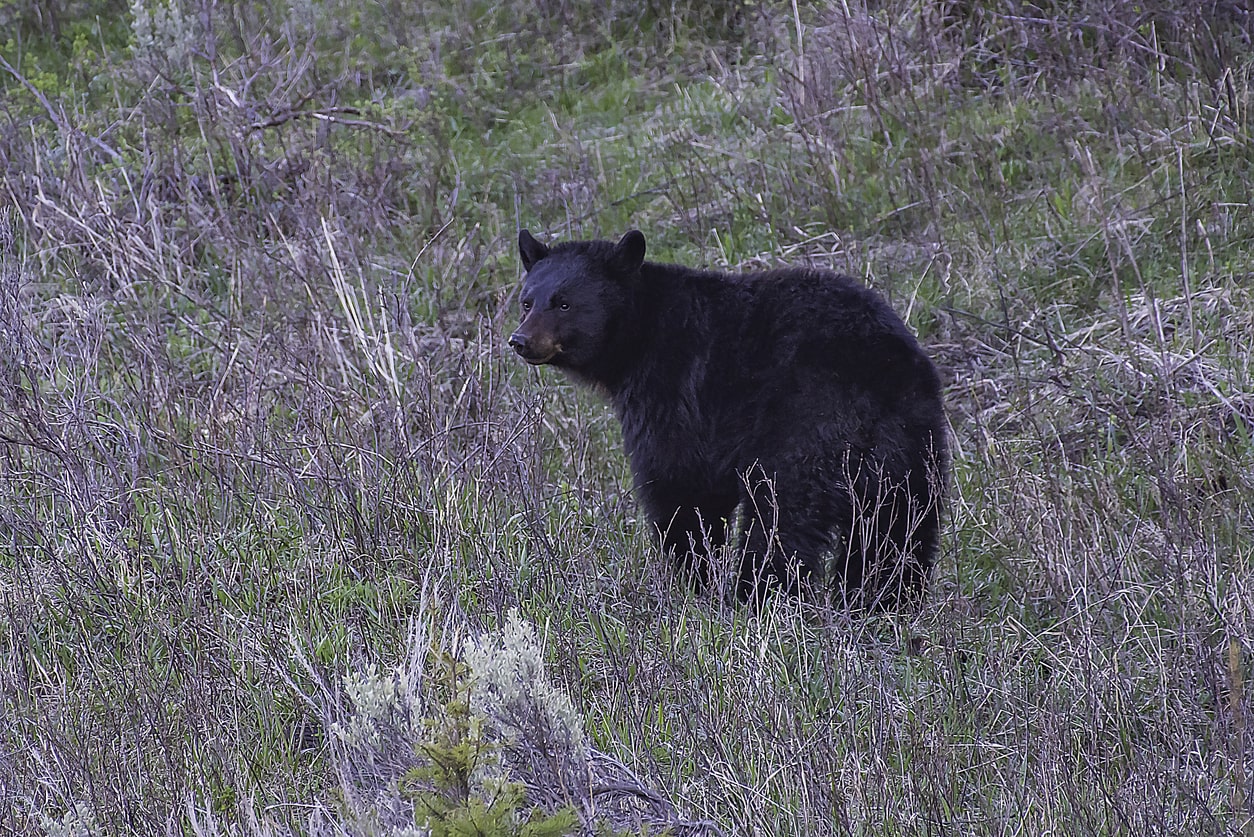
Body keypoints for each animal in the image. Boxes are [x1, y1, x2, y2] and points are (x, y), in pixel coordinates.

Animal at [509, 228, 948, 609]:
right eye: (527, 301)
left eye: (564, 303)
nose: (520, 341)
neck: (642, 334)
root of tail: (876, 376)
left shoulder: (675, 391)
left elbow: (681, 485)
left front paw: (694, 578)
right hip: (910, 449)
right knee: (898, 530)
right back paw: (882, 602)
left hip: (804, 432)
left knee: (780, 520)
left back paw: (757, 596)